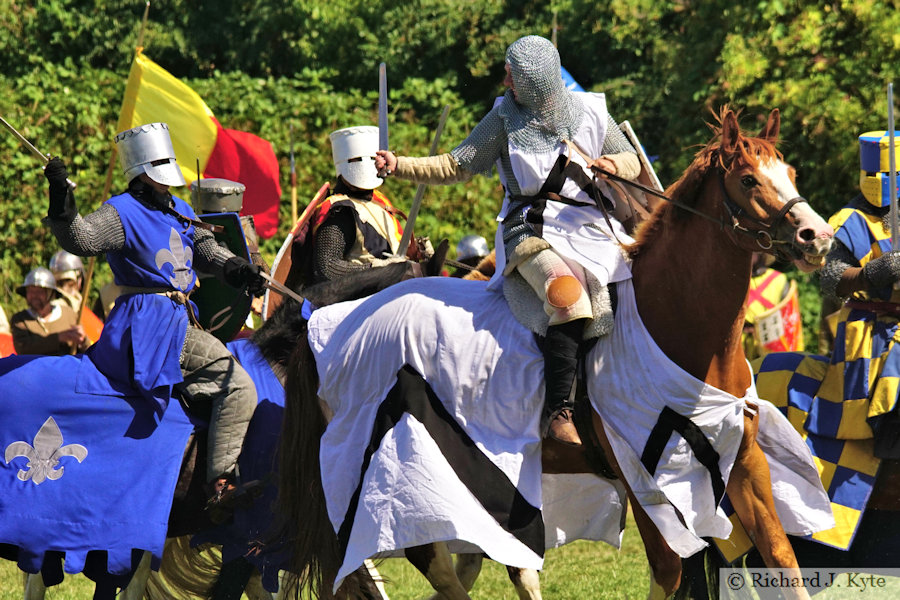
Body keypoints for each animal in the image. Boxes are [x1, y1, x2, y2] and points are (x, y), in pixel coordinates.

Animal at [274, 108, 836, 600]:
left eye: (788, 173)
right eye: (748, 180)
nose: (818, 236)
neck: (674, 324)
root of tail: (326, 323)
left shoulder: (744, 462)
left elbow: (782, 560)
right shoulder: (640, 477)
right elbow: (669, 572)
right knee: (427, 557)